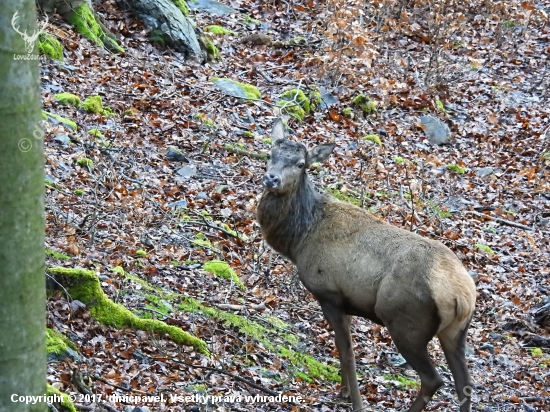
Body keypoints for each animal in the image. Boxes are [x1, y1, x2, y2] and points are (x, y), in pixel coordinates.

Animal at [258, 117, 478, 410]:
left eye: (301, 163)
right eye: (270, 154)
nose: (272, 178)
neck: (299, 240)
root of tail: (462, 296)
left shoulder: (329, 293)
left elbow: (347, 351)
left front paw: (355, 401)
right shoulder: (347, 302)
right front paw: (343, 392)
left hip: (406, 323)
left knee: (434, 379)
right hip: (455, 332)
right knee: (465, 382)